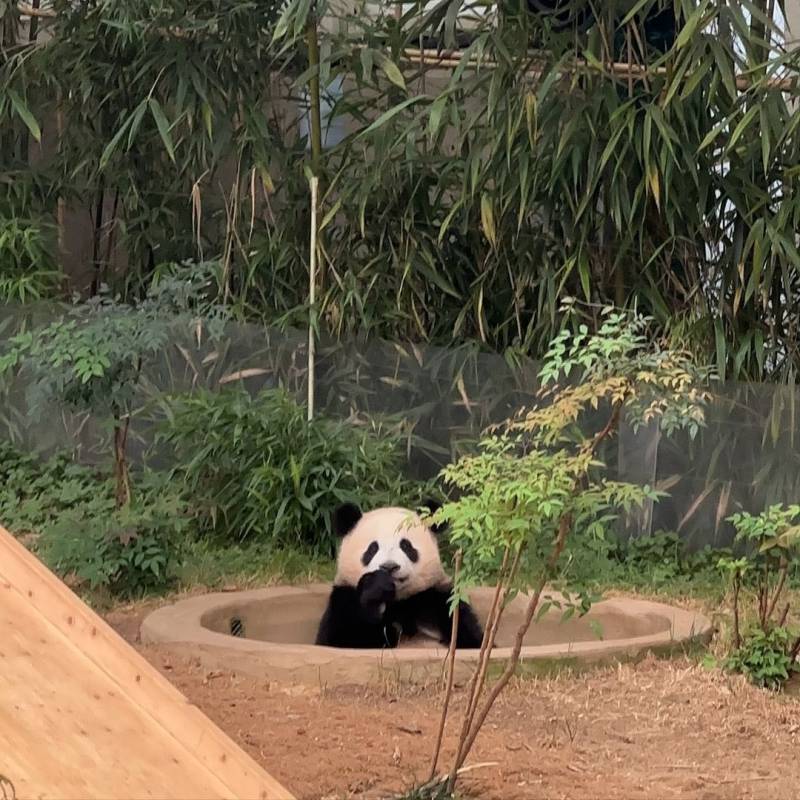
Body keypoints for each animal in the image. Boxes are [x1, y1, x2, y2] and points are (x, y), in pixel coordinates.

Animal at [316, 500, 484, 648]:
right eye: (372, 548)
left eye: (406, 546)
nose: (389, 566)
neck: (398, 602)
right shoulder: (344, 597)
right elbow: (344, 637)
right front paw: (376, 588)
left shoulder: (440, 599)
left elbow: (471, 638)